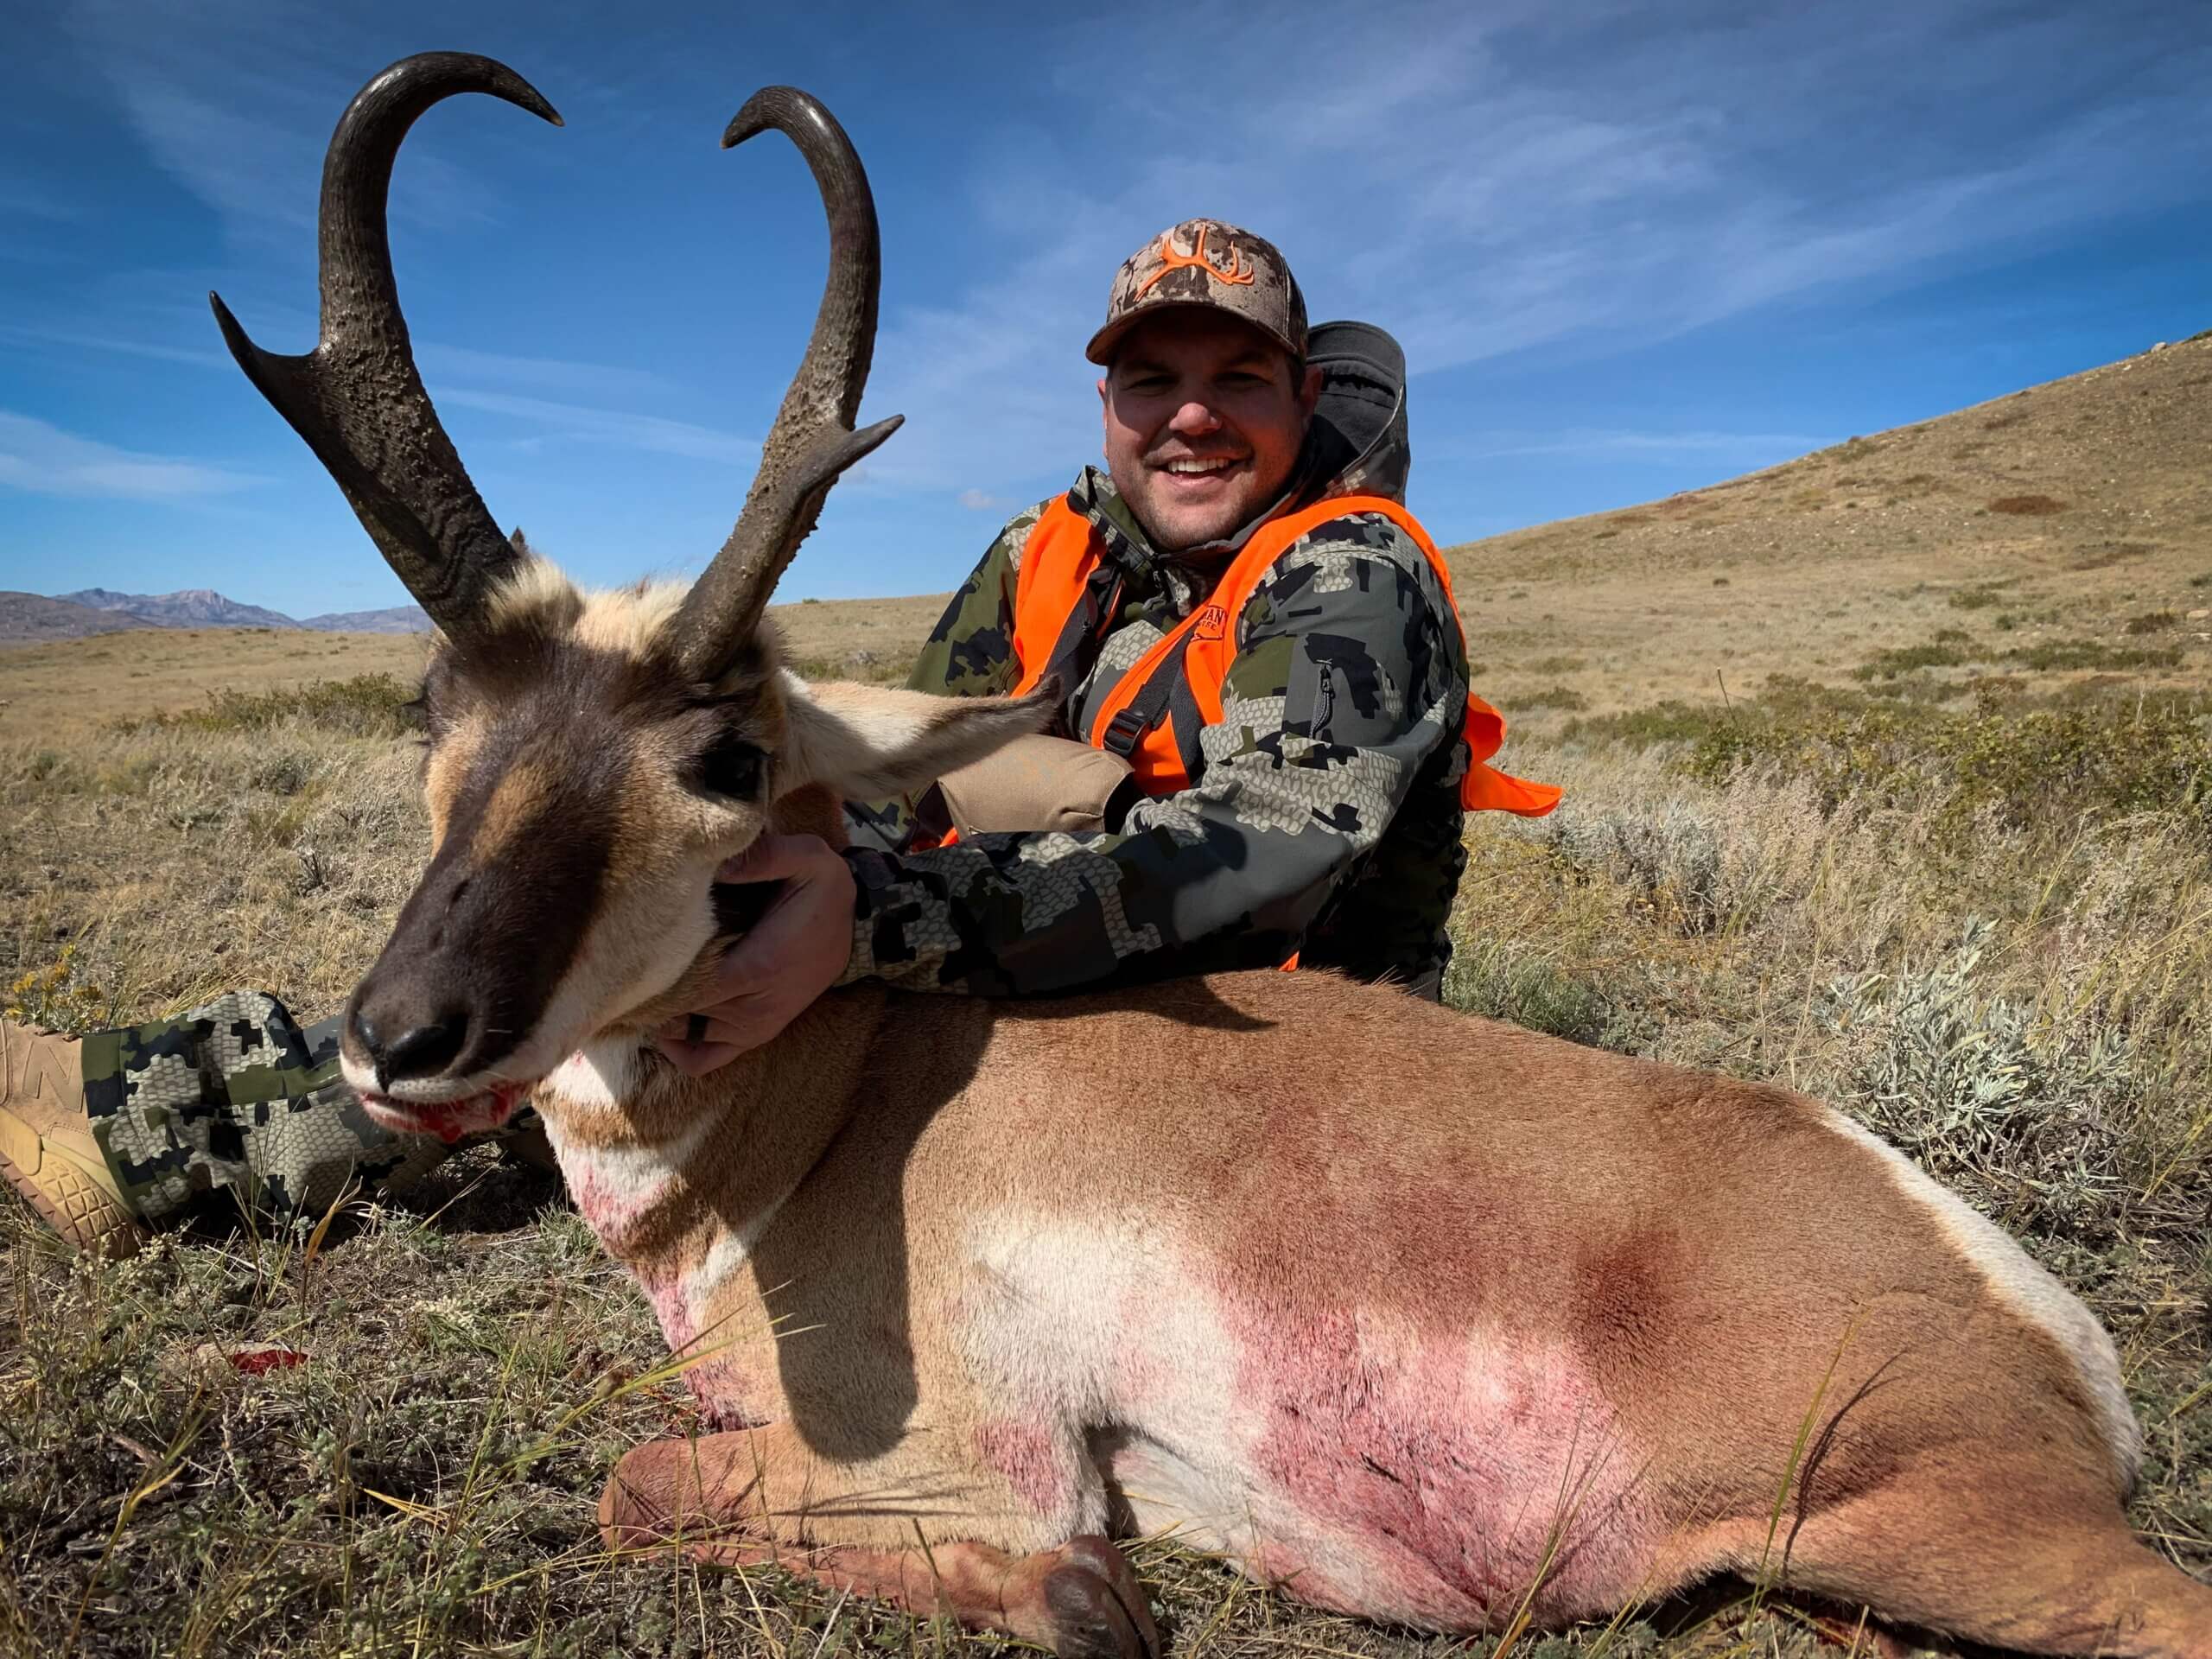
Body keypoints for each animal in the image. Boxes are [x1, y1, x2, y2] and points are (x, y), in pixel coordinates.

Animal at [217, 52, 2212, 1659]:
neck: (839, 1102)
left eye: (725, 754)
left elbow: (648, 1484)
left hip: (1953, 1539)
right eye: (431, 708)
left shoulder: (965, 1452)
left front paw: (1082, 1598)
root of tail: (2036, 1322)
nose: (401, 1035)